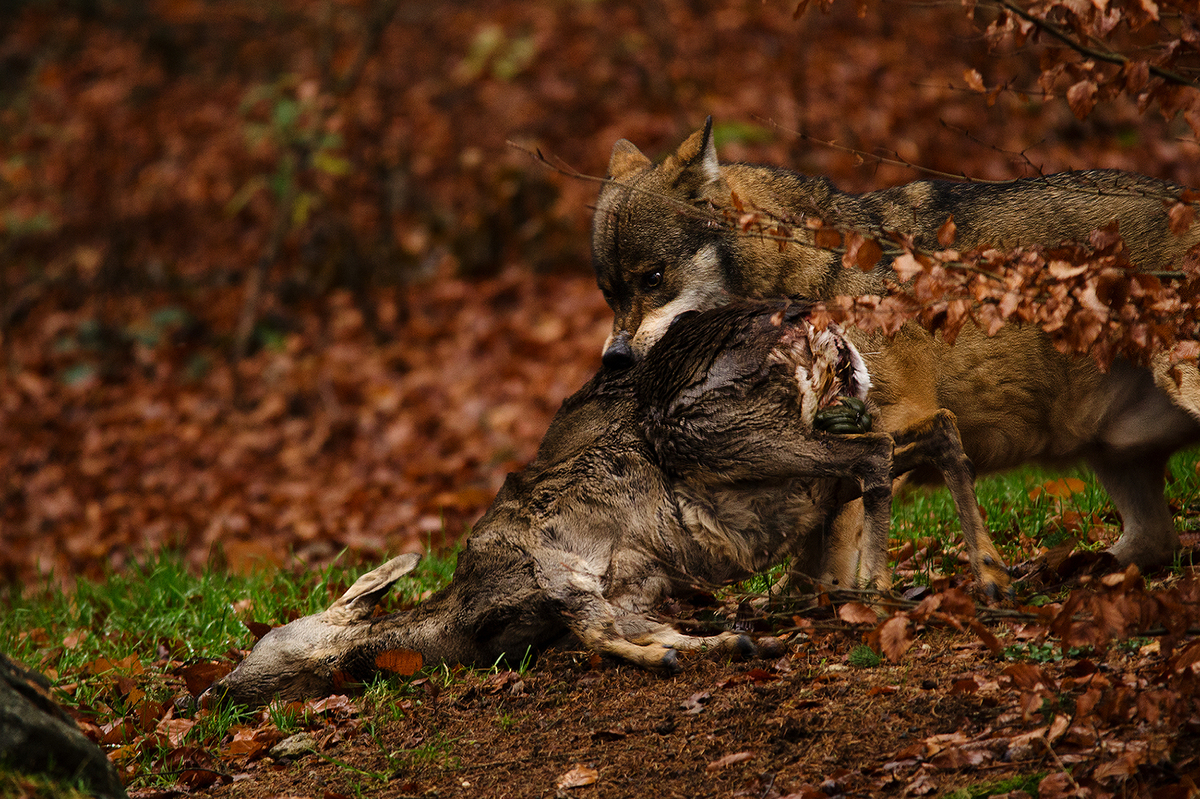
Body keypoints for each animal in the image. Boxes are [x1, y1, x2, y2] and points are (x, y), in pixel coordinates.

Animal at [203, 303, 1000, 706]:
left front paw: (696, 651)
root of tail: (818, 326)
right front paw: (725, 637)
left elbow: (597, 633)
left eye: (262, 642)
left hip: (720, 427)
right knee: (928, 432)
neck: (465, 622)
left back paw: (879, 588)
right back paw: (986, 575)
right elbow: (623, 624)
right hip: (815, 430)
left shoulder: (554, 564)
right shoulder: (625, 585)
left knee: (876, 455)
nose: (206, 693)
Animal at [592, 118, 1200, 581]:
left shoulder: (895, 414)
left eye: (653, 278)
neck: (812, 274)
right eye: (609, 292)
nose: (614, 359)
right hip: (1110, 452)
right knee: (1153, 542)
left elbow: (842, 527)